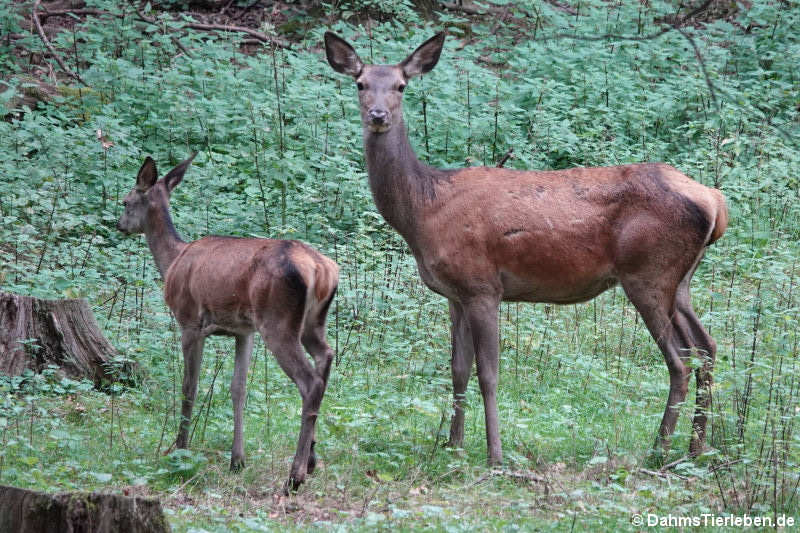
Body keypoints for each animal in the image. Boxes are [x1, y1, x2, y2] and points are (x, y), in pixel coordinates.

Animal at [116, 151, 338, 490]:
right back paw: (311, 460)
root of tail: (321, 269)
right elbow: (238, 389)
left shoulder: (189, 322)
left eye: (126, 201)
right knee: (326, 358)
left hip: (278, 321)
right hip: (311, 323)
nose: (119, 225)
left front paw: (180, 451)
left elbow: (189, 386)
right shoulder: (243, 331)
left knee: (309, 380)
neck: (172, 261)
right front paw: (237, 460)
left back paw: (294, 475)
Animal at [324, 32, 724, 462]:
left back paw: (658, 450)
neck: (425, 209)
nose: (378, 115)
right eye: (360, 83)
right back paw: (695, 449)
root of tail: (716, 202)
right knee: (707, 347)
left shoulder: (483, 285)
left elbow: (488, 373)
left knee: (680, 360)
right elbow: (457, 369)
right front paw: (453, 445)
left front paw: (494, 455)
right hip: (679, 281)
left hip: (648, 272)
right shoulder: (455, 294)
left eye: (401, 85)